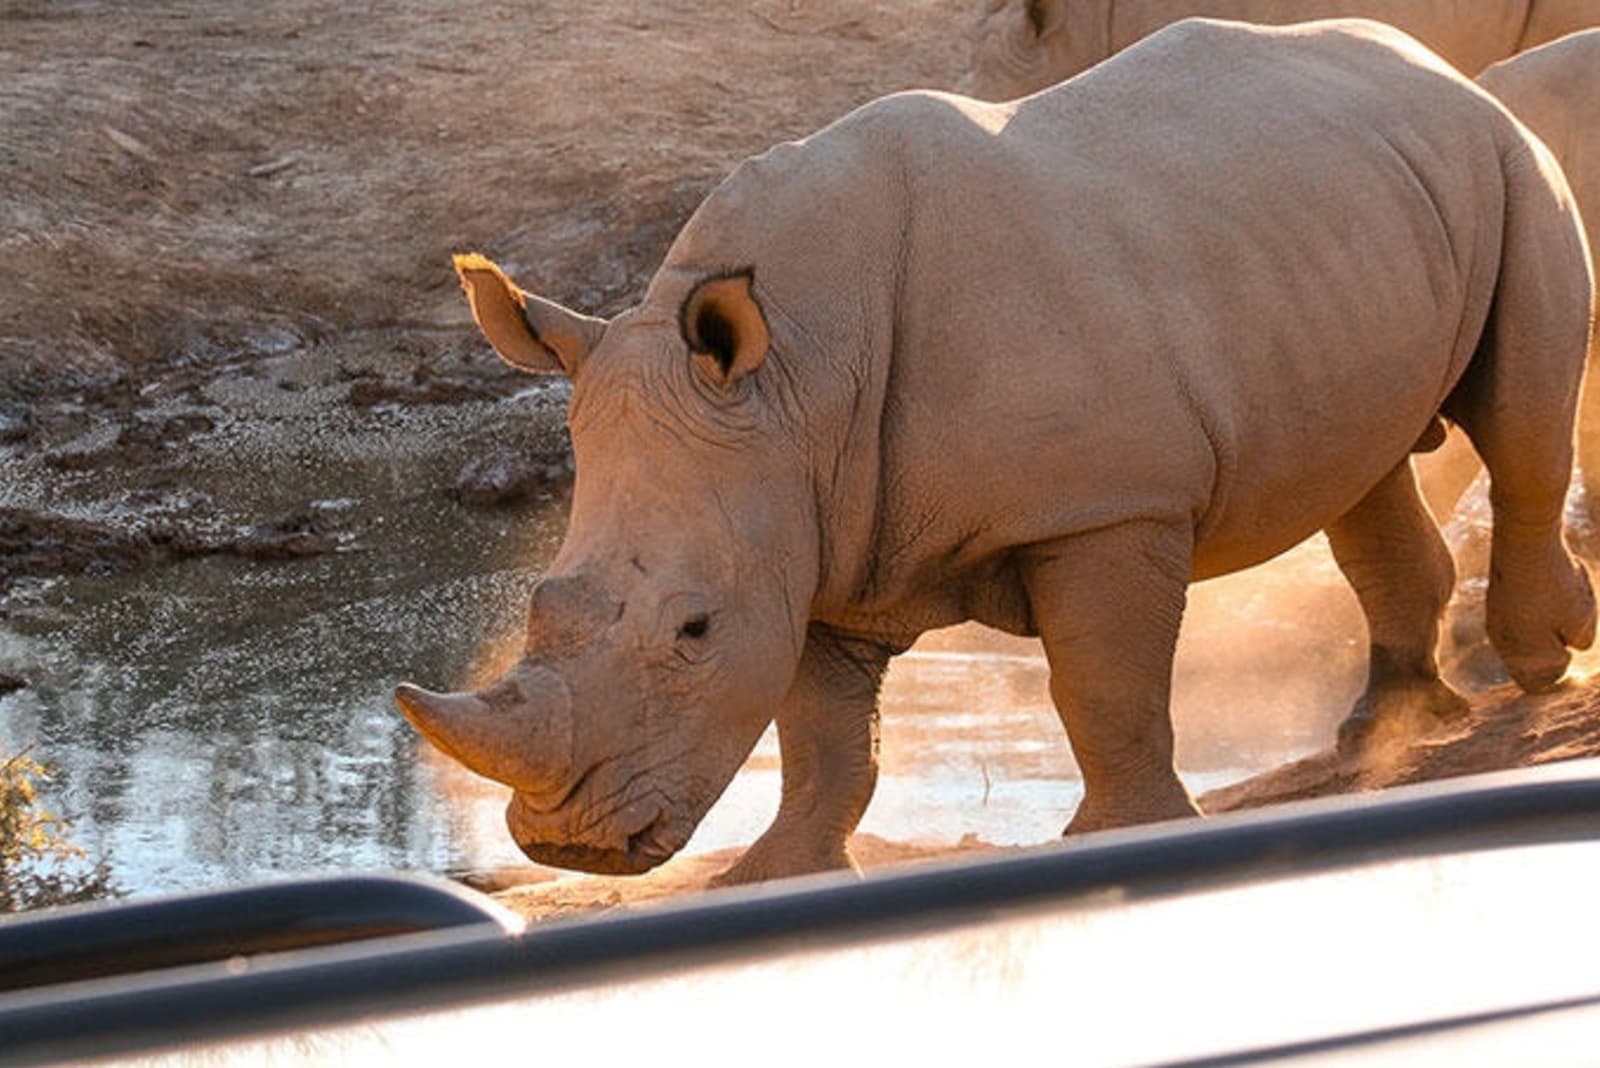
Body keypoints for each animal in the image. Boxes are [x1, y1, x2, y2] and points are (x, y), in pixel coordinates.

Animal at [396, 18, 1596, 885]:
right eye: (541, 604)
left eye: (693, 631)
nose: (568, 845)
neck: (798, 383)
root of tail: (1430, 65)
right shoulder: (815, 528)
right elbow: (821, 732)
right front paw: (775, 875)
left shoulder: (1109, 506)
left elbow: (1101, 684)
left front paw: (1122, 838)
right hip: (1349, 221)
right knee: (1366, 468)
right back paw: (1387, 727)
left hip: (1513, 158)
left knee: (1519, 419)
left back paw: (1539, 666)